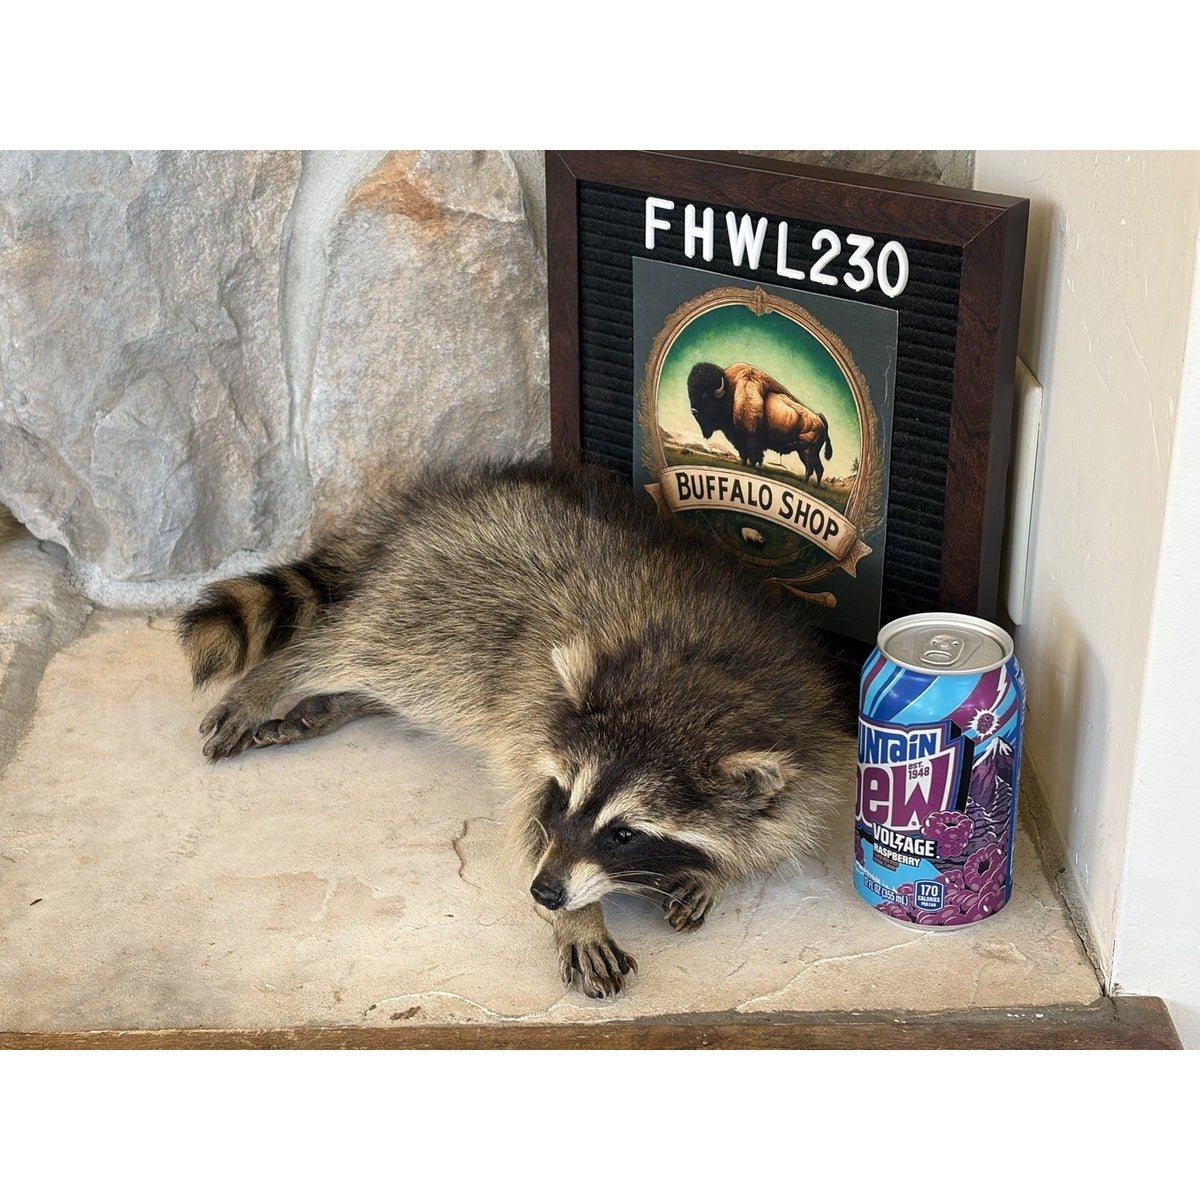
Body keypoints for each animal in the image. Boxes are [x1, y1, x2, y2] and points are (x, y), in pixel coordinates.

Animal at [178, 459, 854, 998]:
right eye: (565, 797)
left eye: (626, 834)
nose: (546, 894)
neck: (696, 680)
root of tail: (429, 508)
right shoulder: (537, 718)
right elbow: (530, 820)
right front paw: (581, 920)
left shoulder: (808, 725)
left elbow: (784, 821)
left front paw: (717, 870)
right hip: (445, 602)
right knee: (355, 642)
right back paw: (281, 675)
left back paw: (350, 700)